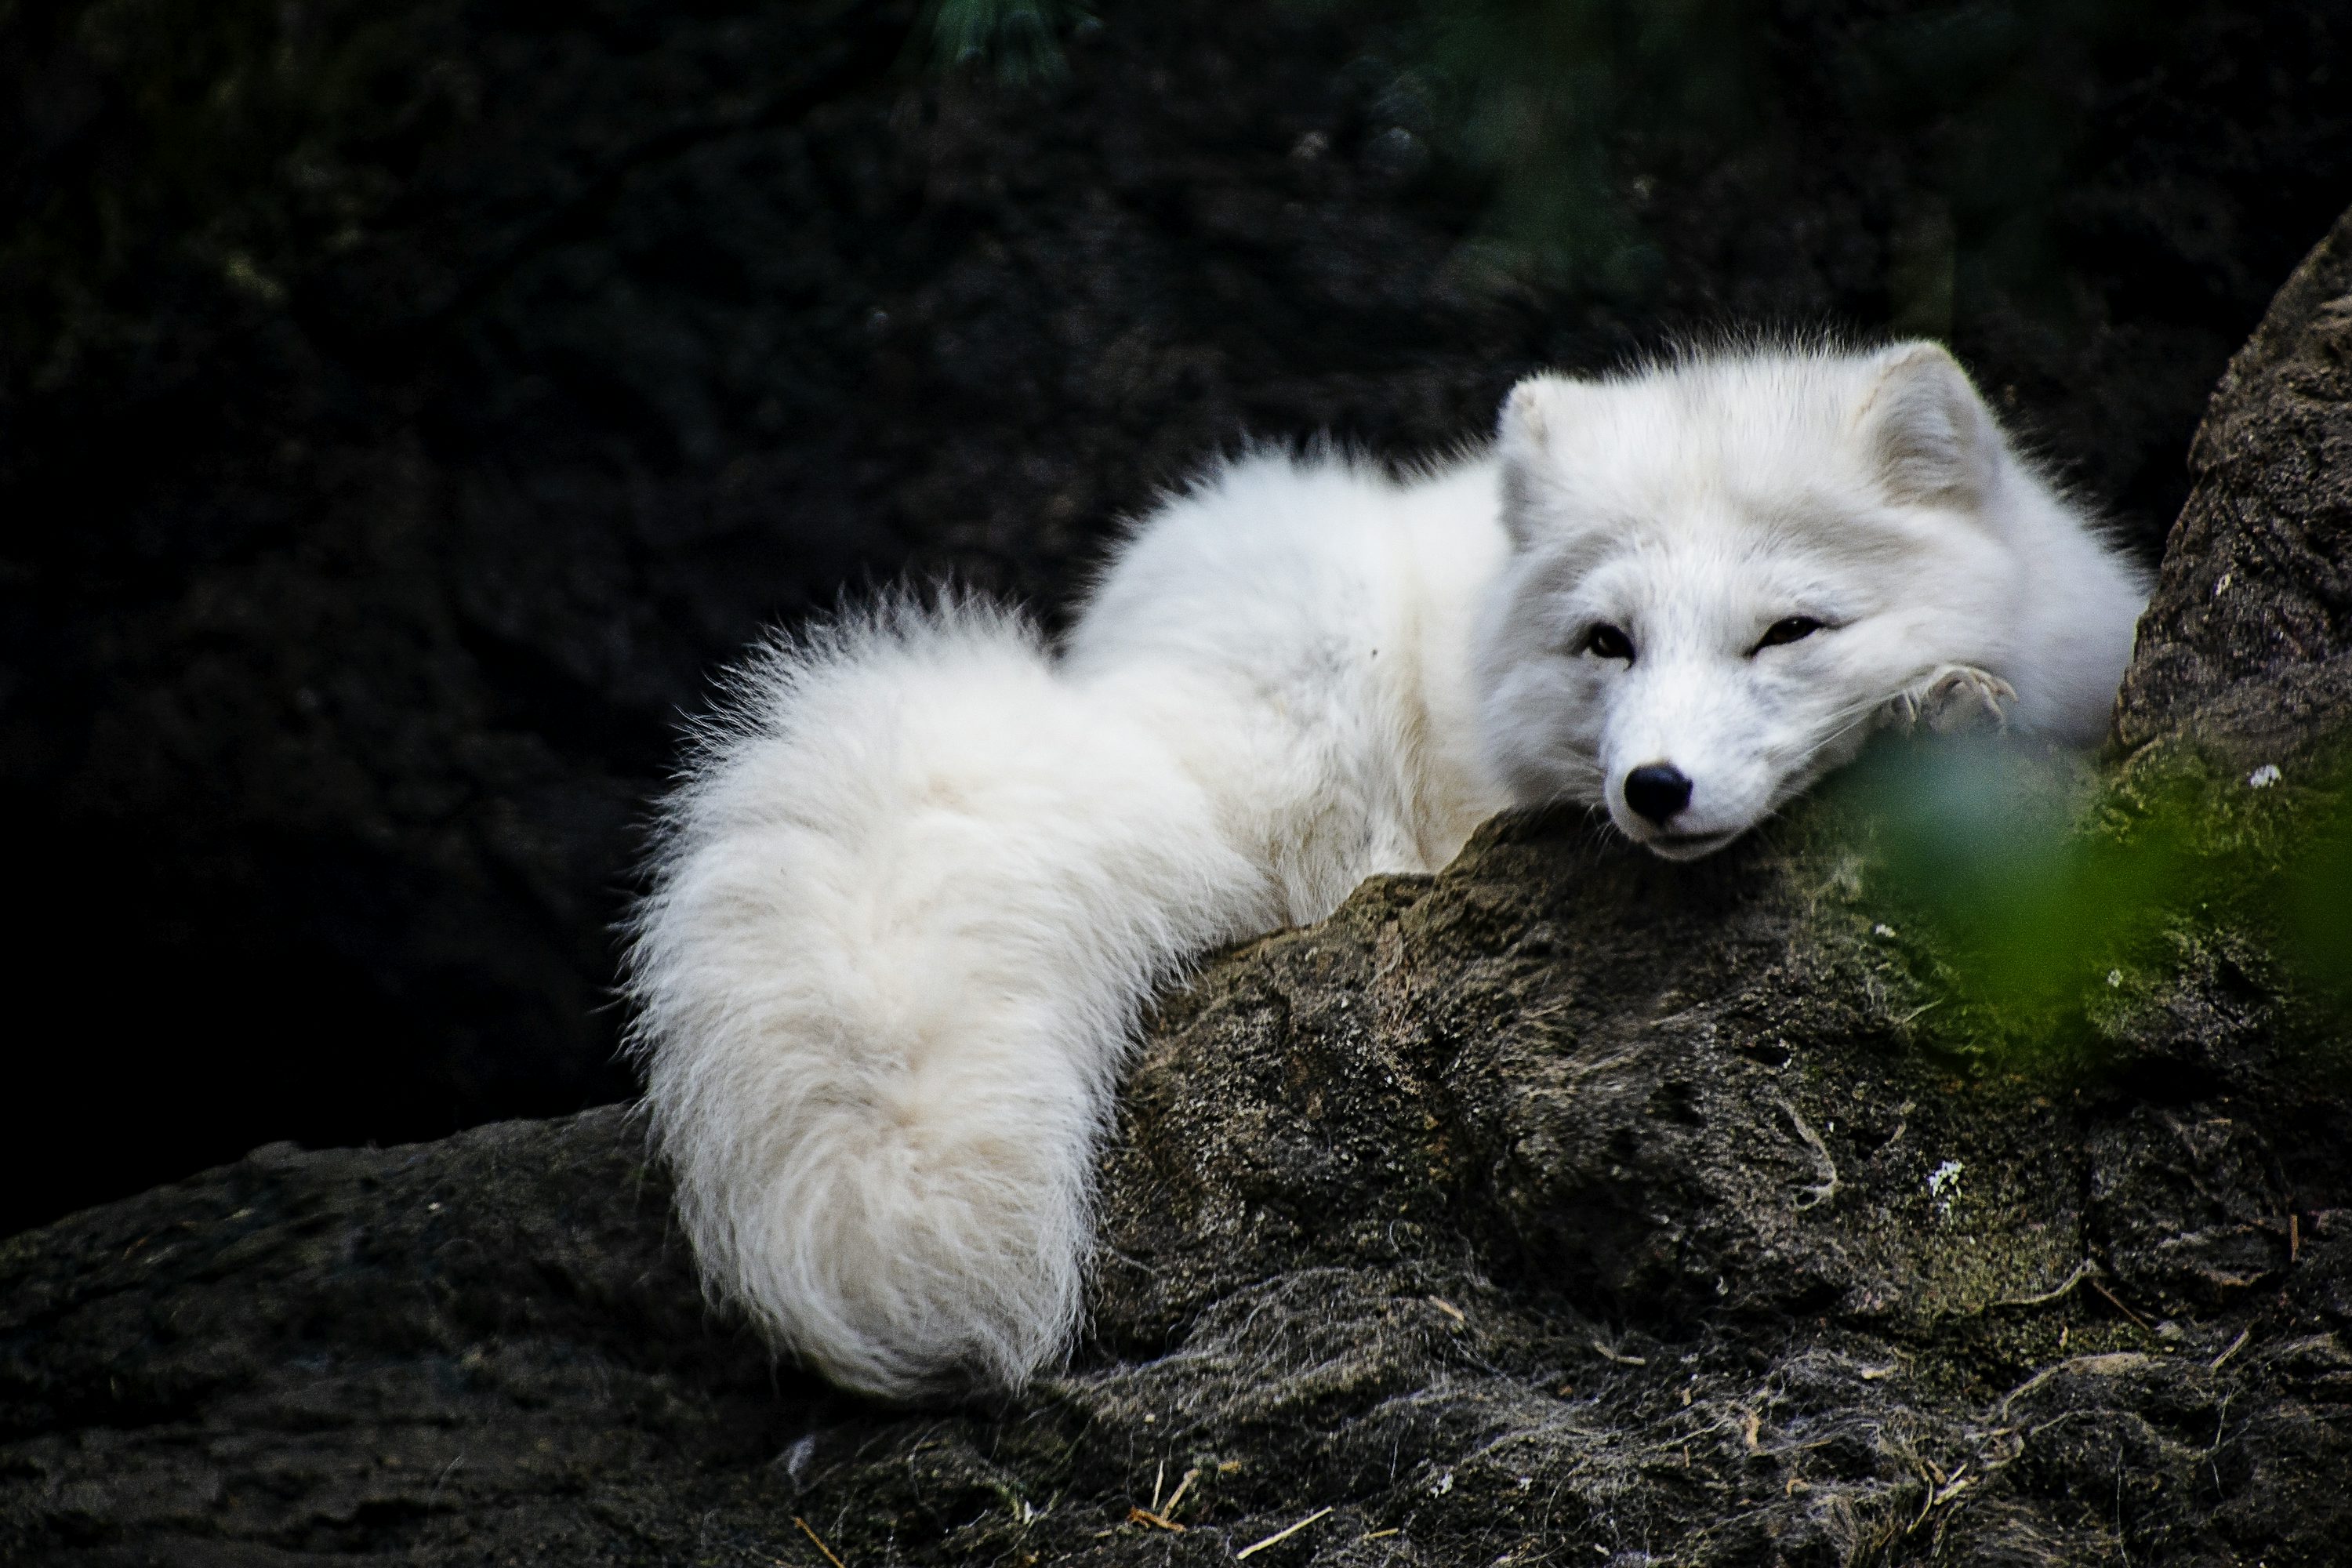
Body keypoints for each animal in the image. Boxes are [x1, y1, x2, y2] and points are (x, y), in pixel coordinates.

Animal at [625, 341, 2151, 1399]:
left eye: (1790, 631)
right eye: (1608, 641)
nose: (1654, 790)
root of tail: (1121, 685)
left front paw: (1942, 702)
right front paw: (1930, 711)